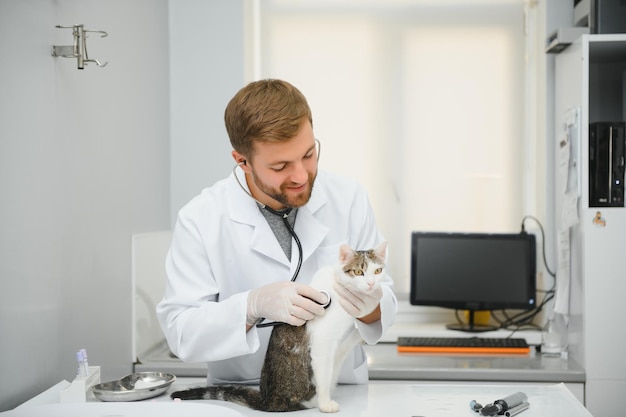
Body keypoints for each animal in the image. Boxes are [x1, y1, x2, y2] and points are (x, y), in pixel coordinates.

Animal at [169, 240, 386, 412]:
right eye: (358, 272)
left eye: (378, 271)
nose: (371, 284)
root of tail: (268, 399)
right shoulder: (322, 341)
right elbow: (323, 373)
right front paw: (326, 404)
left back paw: (358, 336)